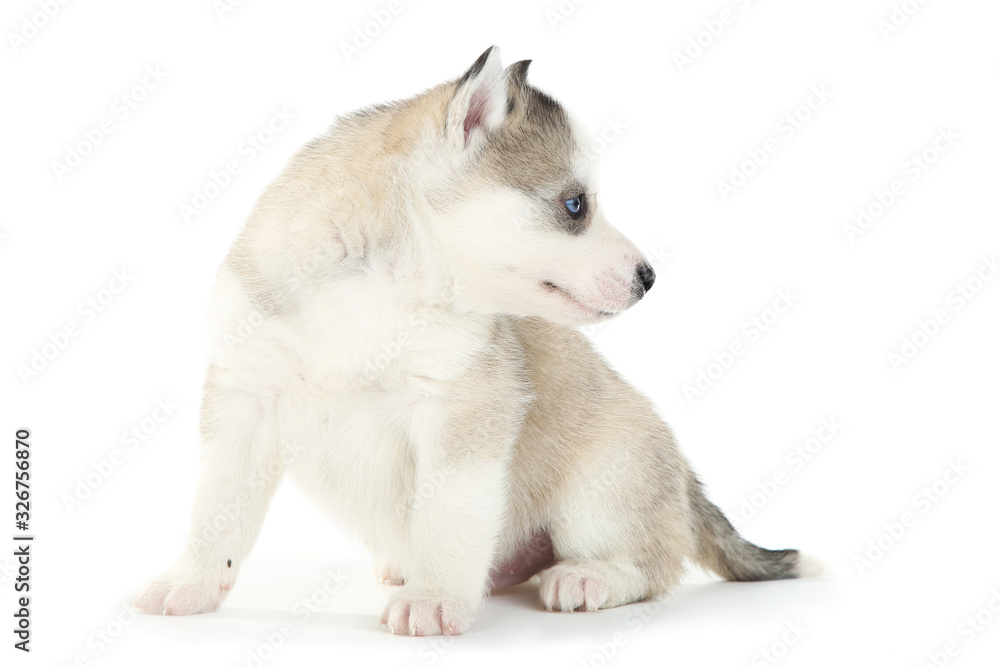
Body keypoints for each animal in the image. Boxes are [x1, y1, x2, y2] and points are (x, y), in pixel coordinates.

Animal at [135, 45, 812, 636]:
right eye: (575, 205)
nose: (649, 278)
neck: (376, 287)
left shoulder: (460, 408)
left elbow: (446, 515)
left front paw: (434, 599)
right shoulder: (245, 396)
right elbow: (217, 512)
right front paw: (192, 583)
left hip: (600, 488)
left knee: (654, 564)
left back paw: (589, 577)